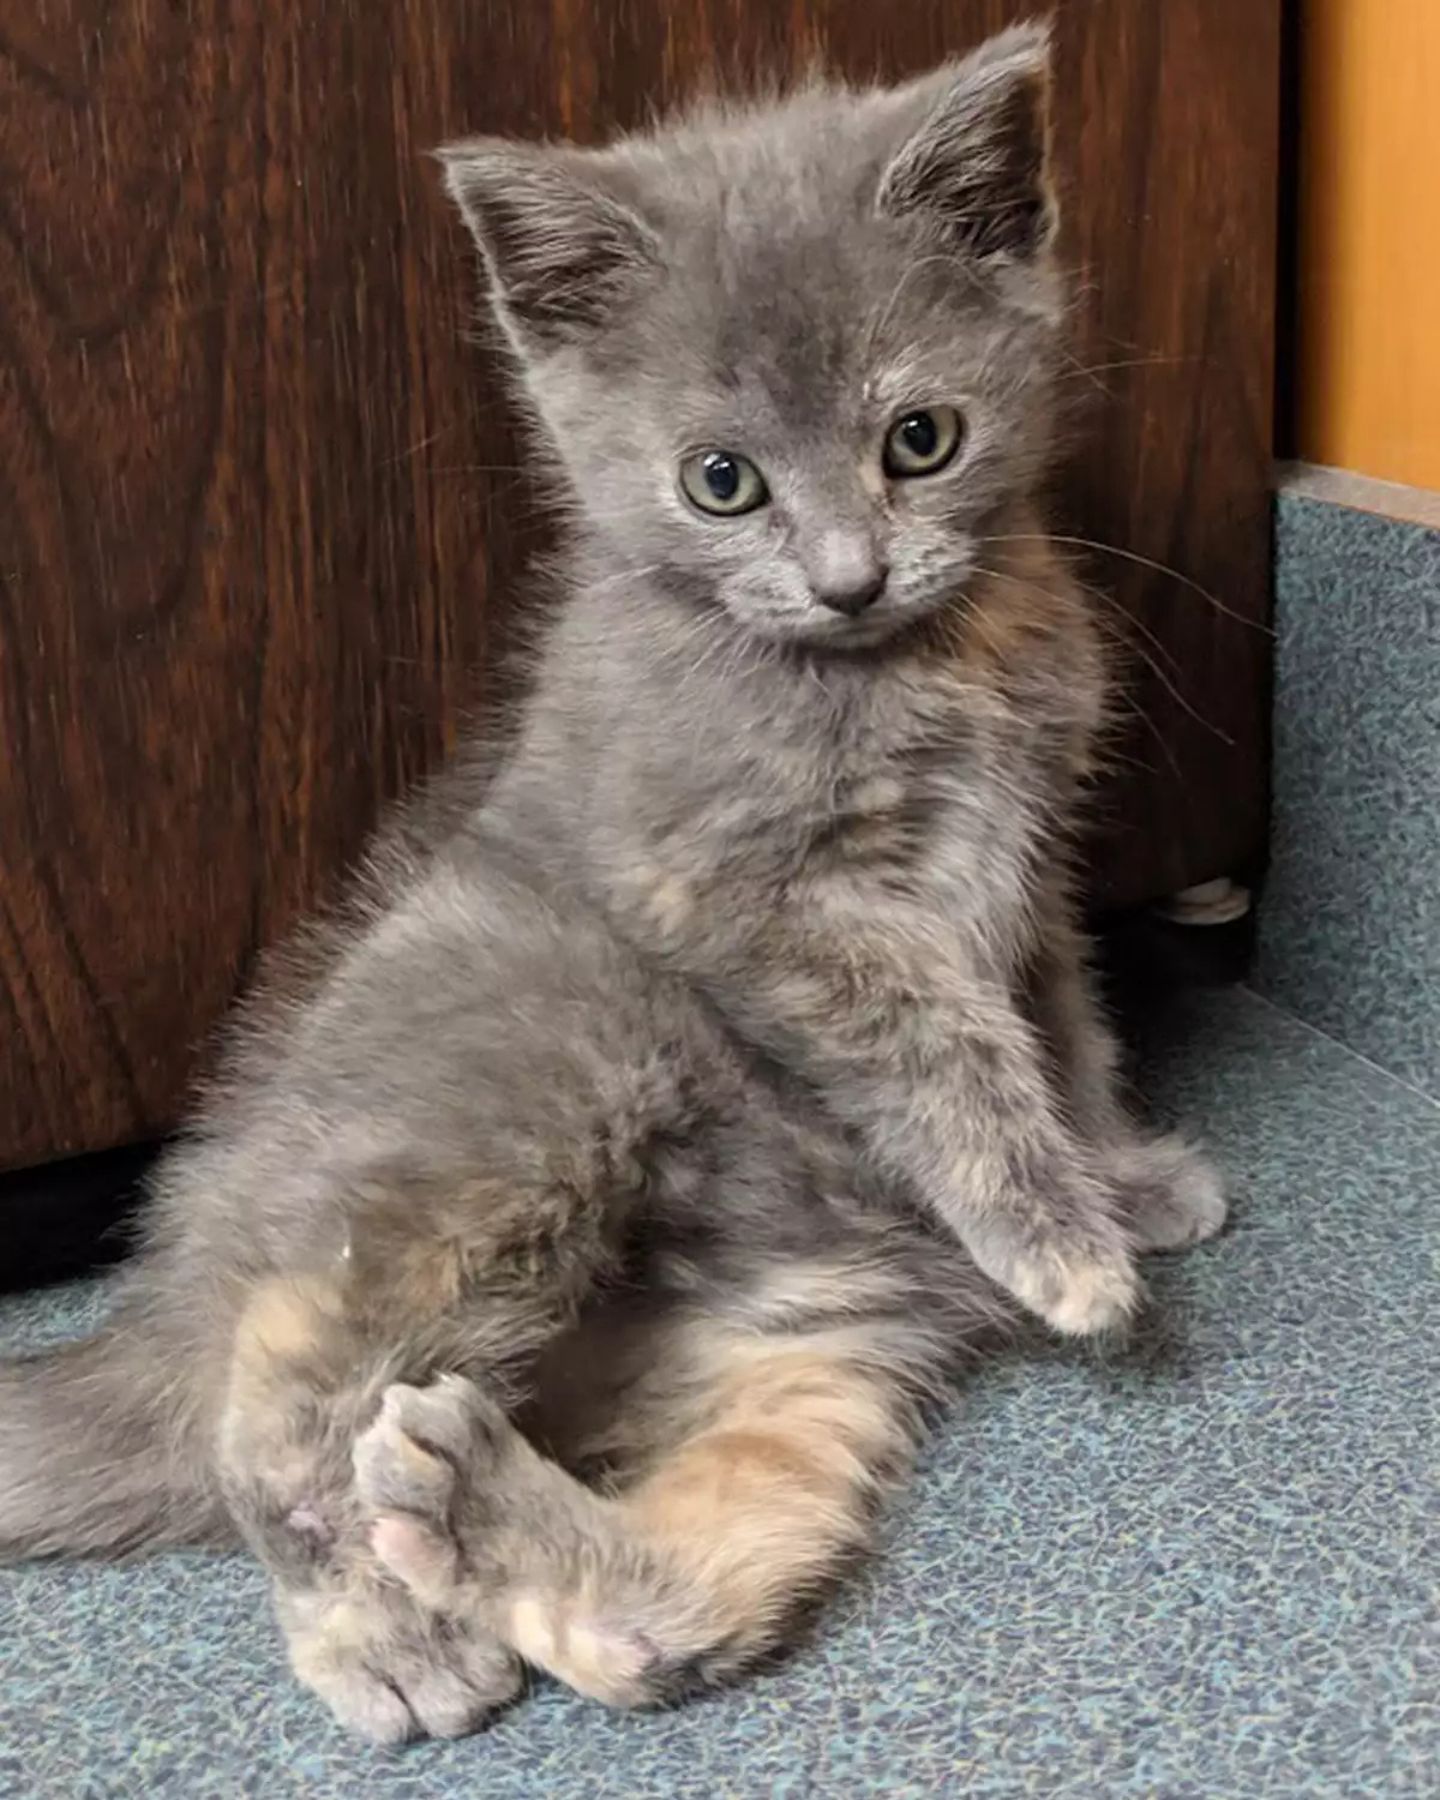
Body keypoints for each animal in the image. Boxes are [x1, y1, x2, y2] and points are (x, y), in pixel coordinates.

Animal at [0, 24, 1224, 1742]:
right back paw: (383, 1630)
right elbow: (949, 1046)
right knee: (285, 1378)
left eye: (921, 439)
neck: (915, 666)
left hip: (823, 1368)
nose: (850, 576)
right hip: (549, 1070)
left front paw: (1121, 1180)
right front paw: (1060, 1238)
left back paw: (473, 1513)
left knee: (661, 1607)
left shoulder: (1035, 874)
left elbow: (1066, 1030)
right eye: (722, 483)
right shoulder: (734, 893)